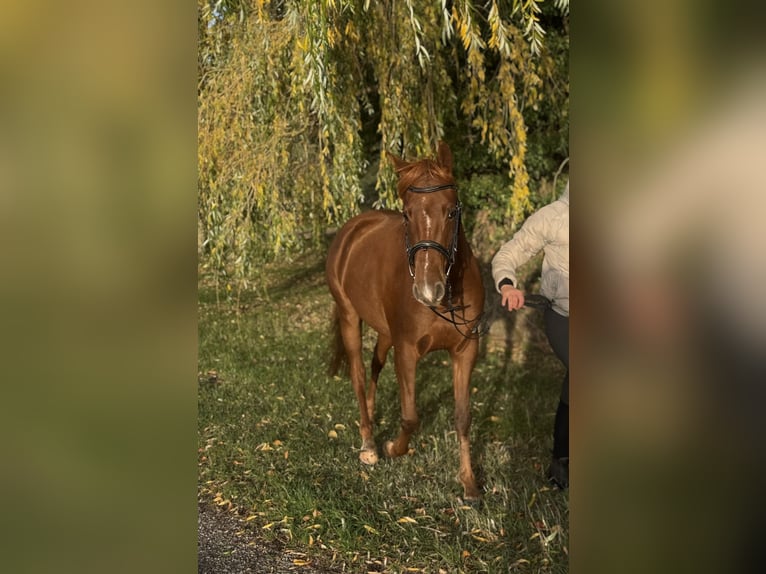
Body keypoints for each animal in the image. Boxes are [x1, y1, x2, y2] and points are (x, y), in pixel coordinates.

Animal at [325, 141, 485, 502]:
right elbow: (410, 417)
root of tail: (353, 228)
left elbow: (463, 416)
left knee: (374, 365)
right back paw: (369, 443)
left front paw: (469, 482)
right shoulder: (408, 350)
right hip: (349, 318)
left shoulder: (465, 350)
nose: (428, 289)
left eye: (451, 211)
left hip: (385, 333)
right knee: (358, 374)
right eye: (408, 214)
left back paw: (370, 416)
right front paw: (391, 448)